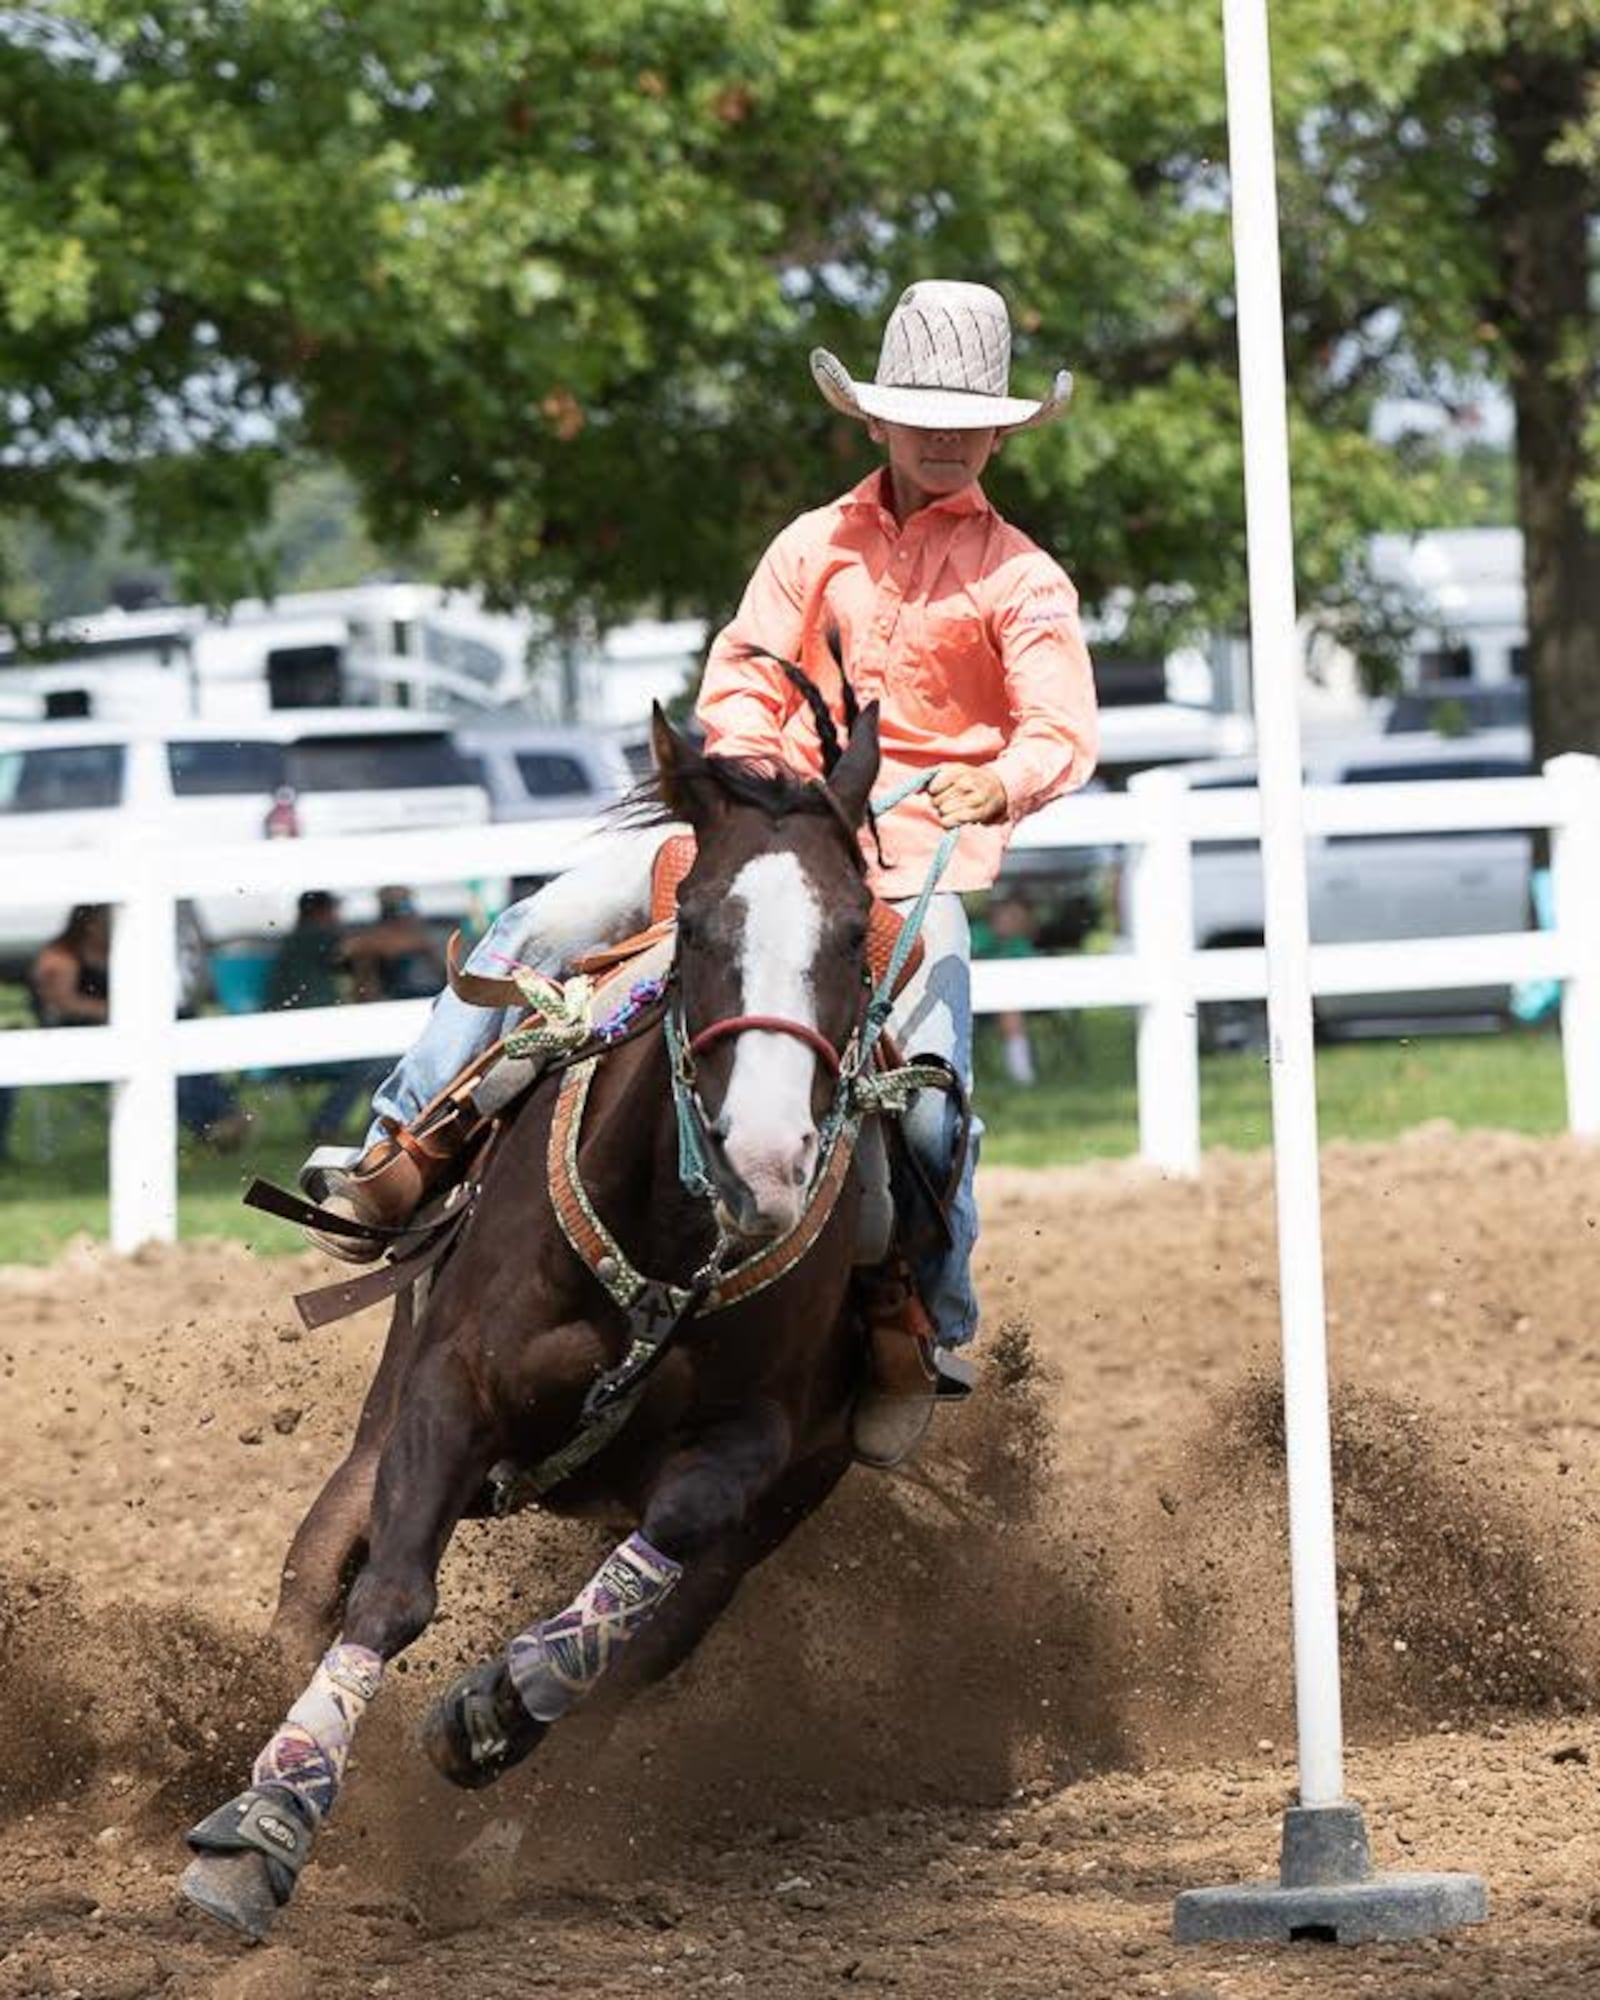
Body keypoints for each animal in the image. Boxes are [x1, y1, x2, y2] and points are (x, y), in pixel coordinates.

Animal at [184, 700, 900, 1936]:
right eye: (697, 925)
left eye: (857, 934)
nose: (766, 1164)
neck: (667, 1241)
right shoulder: (444, 1390)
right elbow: (388, 1594)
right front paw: (267, 1821)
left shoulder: (754, 1441)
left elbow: (656, 1560)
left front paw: (496, 1706)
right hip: (374, 1433)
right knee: (315, 1580)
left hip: (777, 1513)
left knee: (645, 1657)